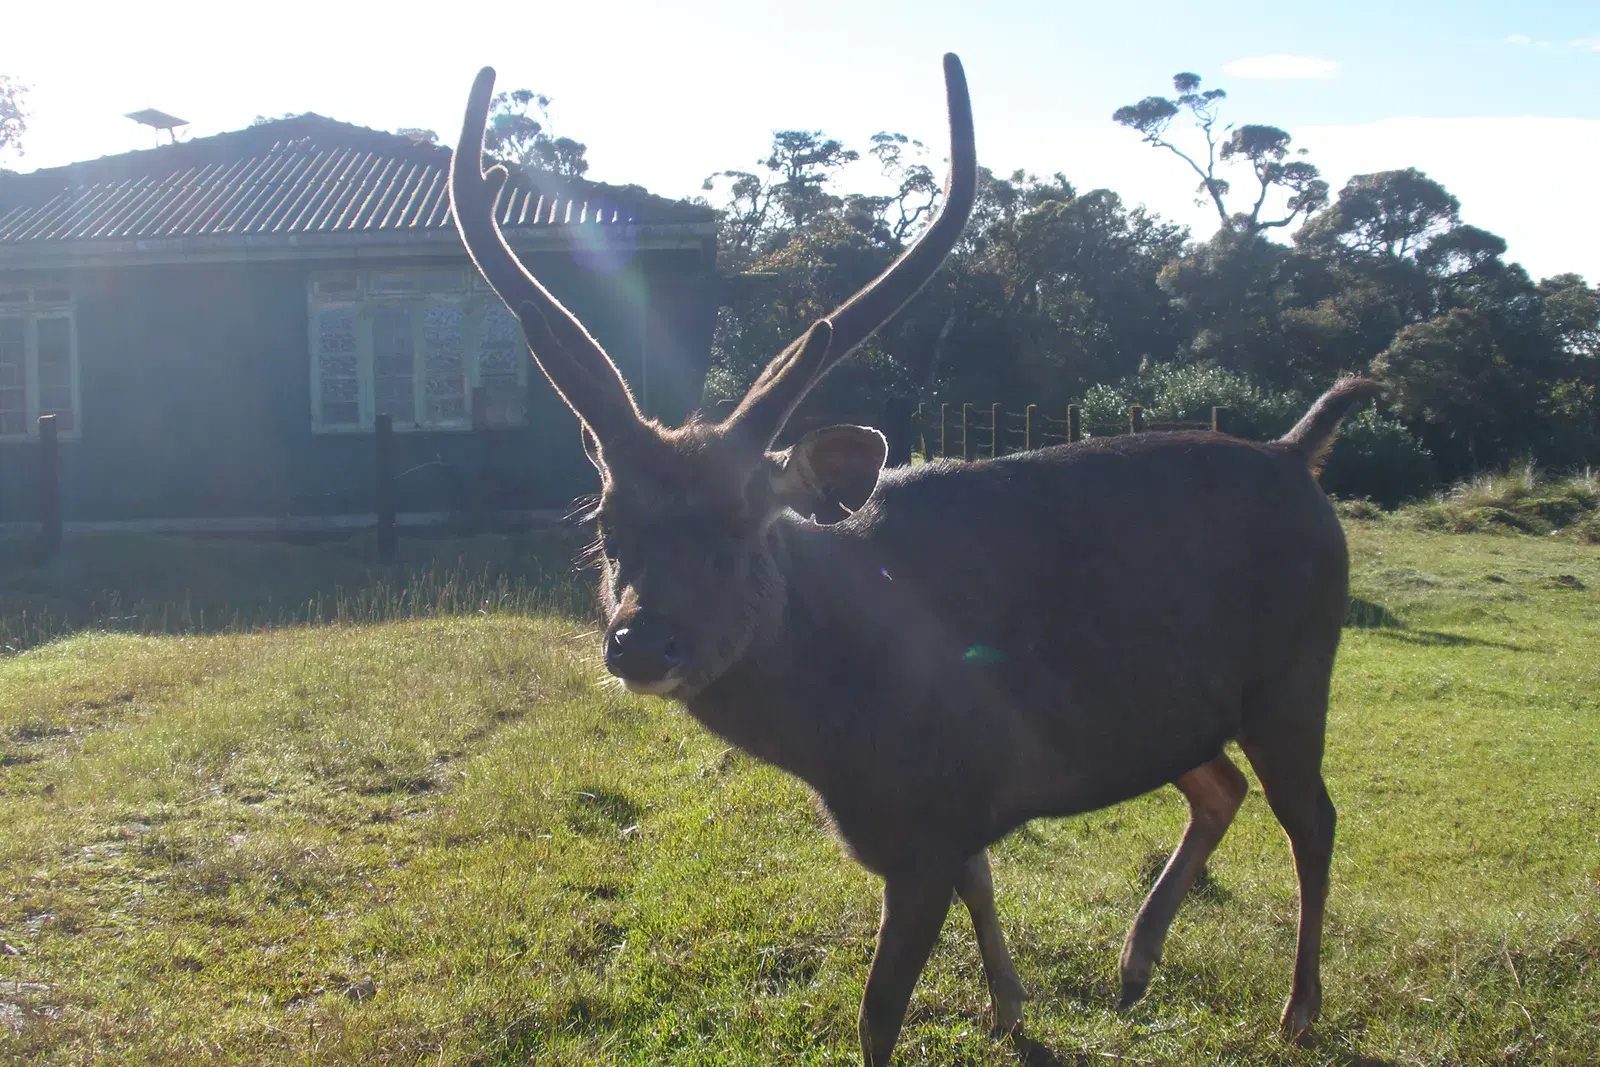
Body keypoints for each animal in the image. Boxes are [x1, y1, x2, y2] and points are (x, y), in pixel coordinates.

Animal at [450, 54, 1380, 1067]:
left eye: (743, 524)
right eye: (608, 529)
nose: (641, 642)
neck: (838, 738)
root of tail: (1298, 453)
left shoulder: (926, 823)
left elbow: (879, 1011)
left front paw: (993, 1004)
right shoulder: (958, 807)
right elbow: (985, 885)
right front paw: (1010, 1005)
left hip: (1298, 668)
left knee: (1315, 816)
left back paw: (1298, 1008)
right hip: (1177, 709)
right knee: (1222, 785)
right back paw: (1135, 964)